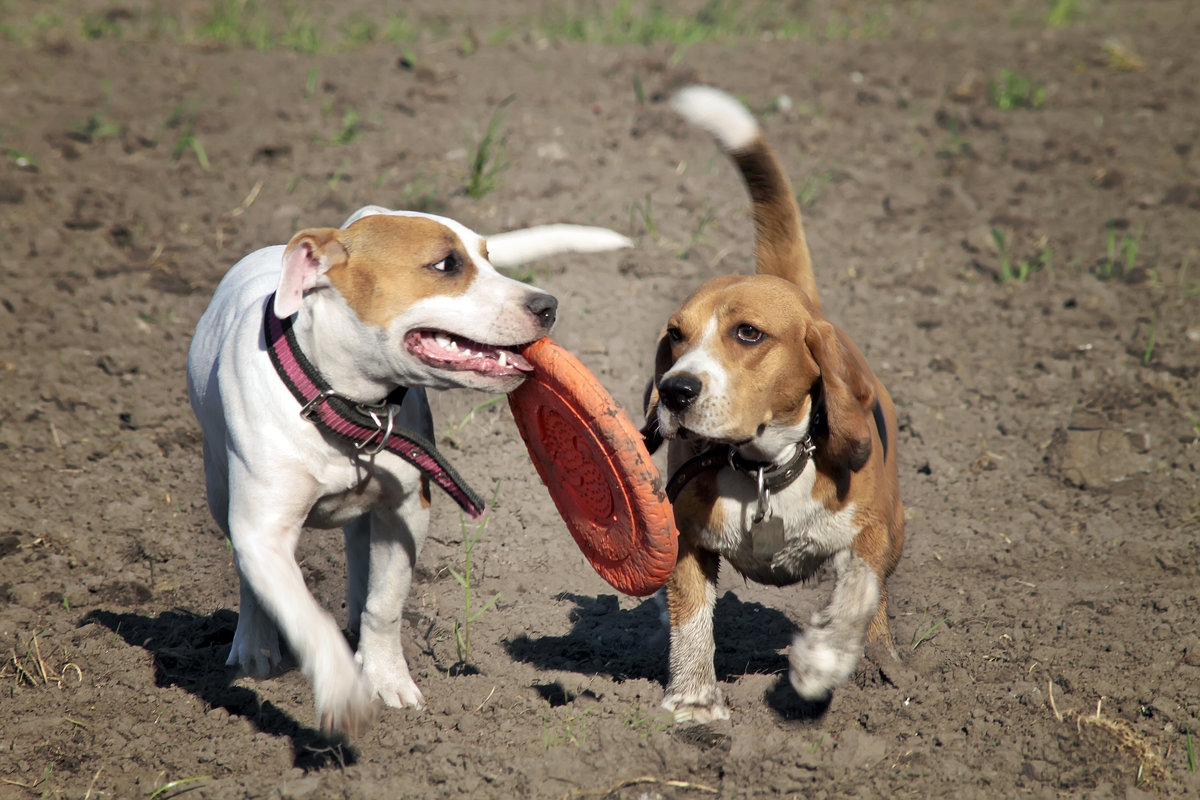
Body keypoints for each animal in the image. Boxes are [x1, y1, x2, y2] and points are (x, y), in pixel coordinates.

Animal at [187, 206, 628, 738]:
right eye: (445, 265)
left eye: (488, 256)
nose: (548, 305)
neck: (348, 406)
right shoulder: (263, 531)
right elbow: (303, 614)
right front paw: (341, 689)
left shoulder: (406, 510)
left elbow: (385, 603)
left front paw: (385, 679)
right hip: (220, 489)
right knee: (248, 573)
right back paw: (255, 646)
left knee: (360, 554)